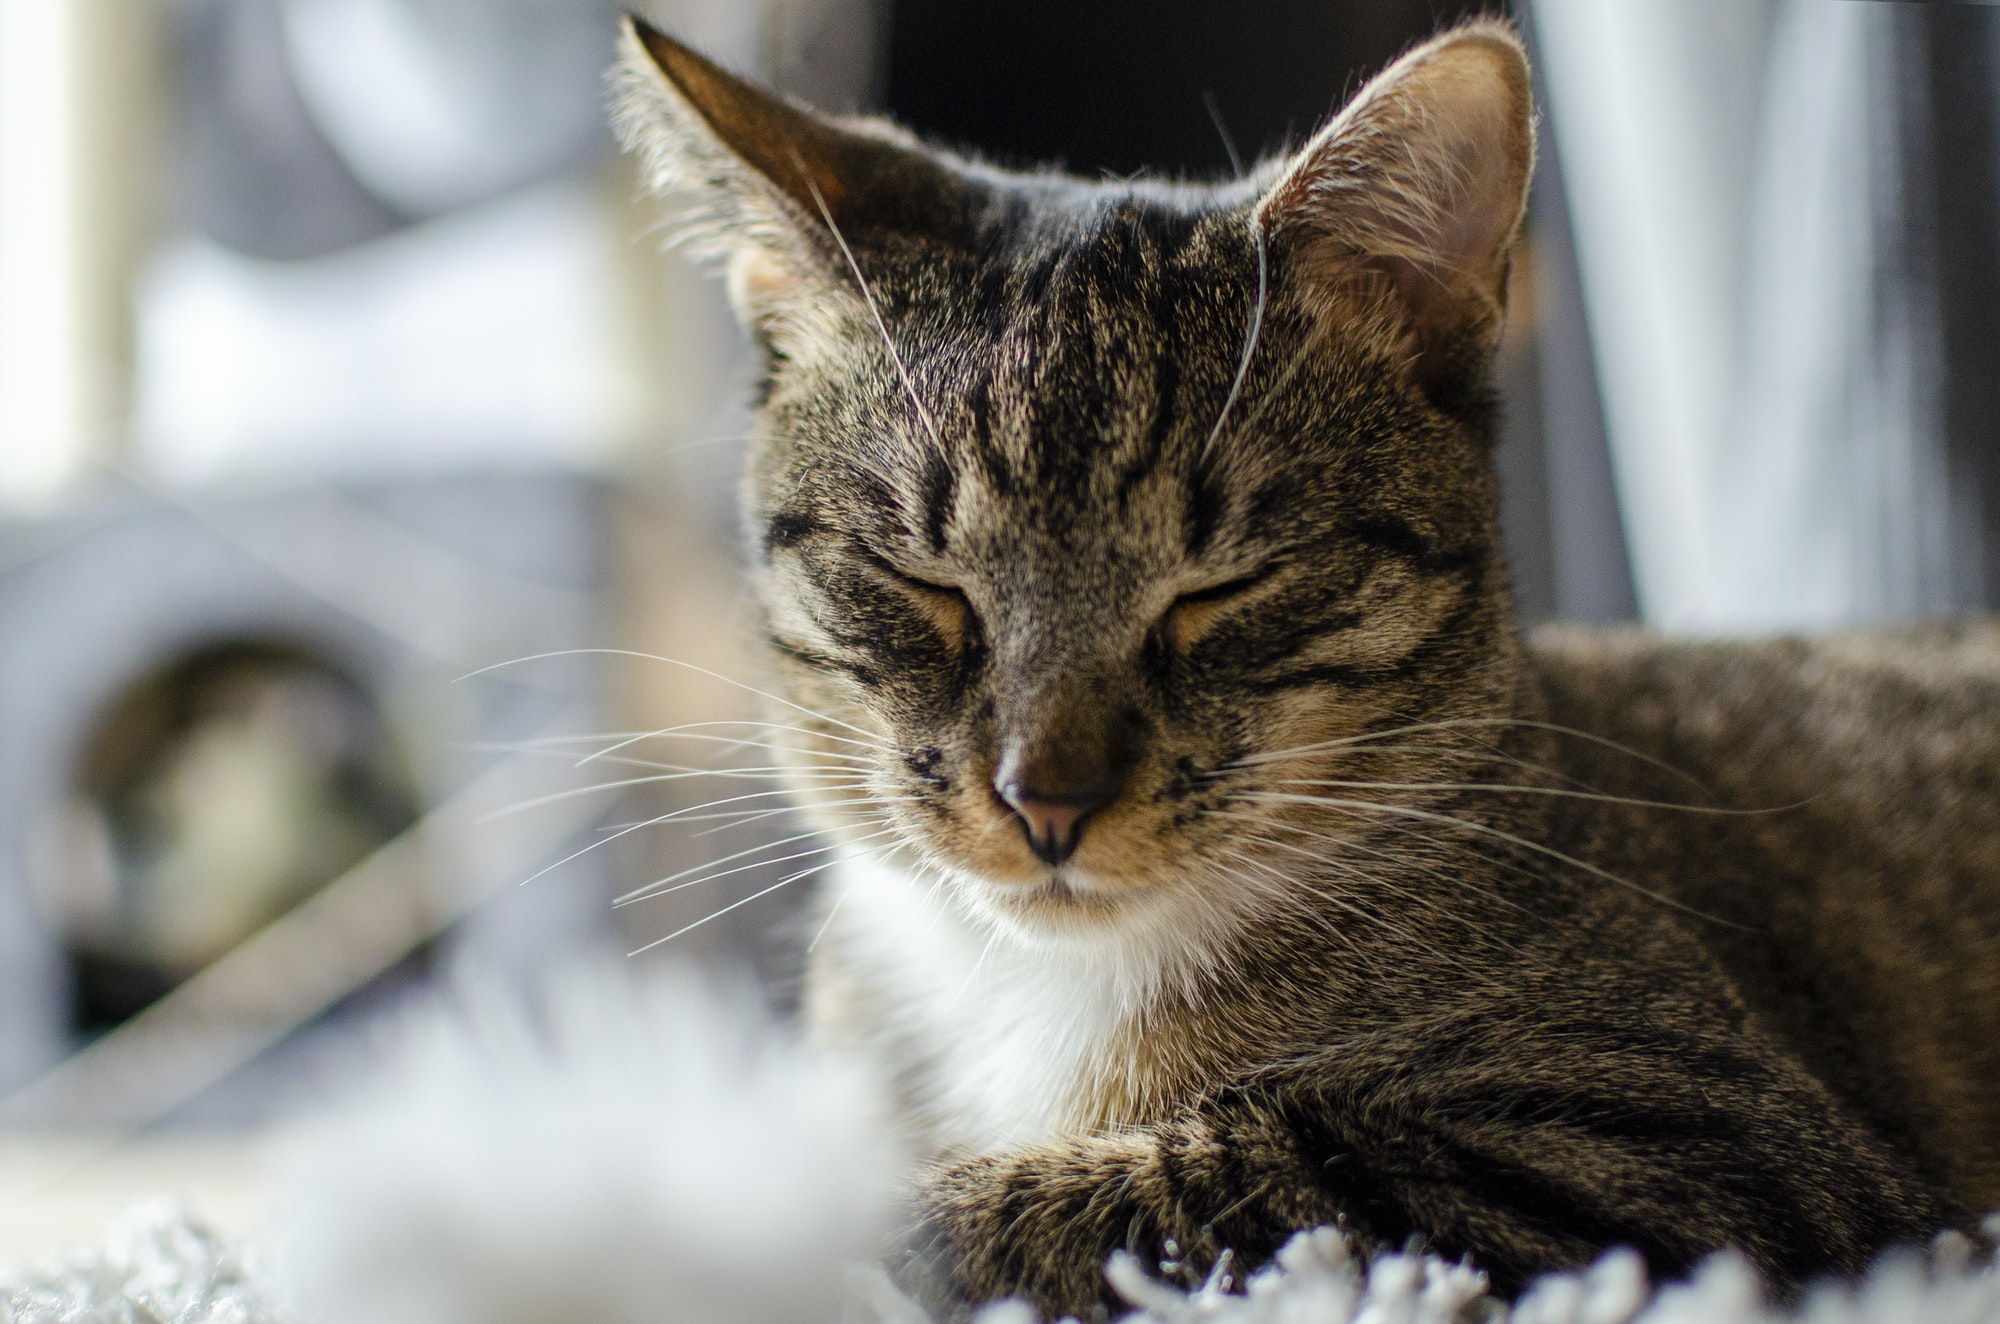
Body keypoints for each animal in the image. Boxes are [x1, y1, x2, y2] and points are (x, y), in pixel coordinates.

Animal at [604, 15, 2000, 1320]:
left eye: (1218, 586)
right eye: (920, 581)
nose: (1044, 799)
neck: (1025, 985)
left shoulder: (1708, 1149)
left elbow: (1143, 1187)